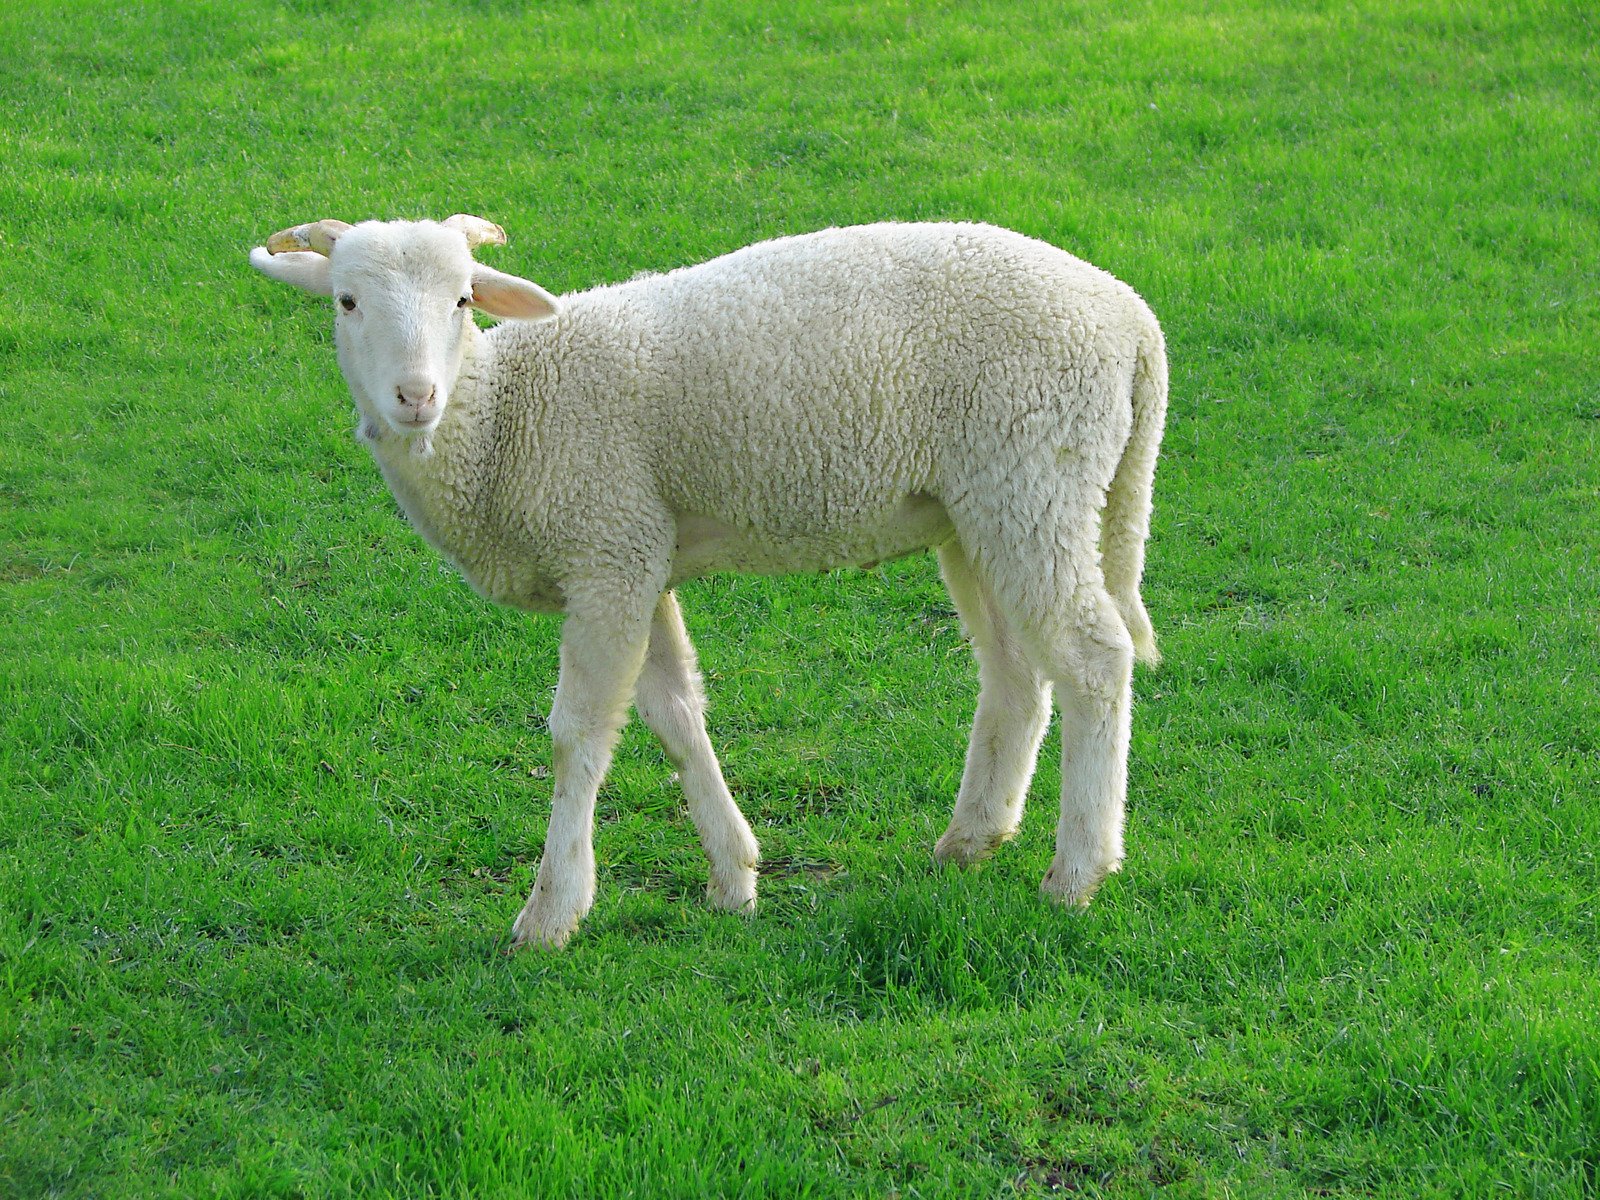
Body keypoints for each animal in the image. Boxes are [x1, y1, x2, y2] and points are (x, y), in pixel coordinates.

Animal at [252, 214, 1177, 947]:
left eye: (463, 301)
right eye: (346, 302)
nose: (415, 396)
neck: (499, 416)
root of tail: (1132, 320)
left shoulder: (605, 549)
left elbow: (577, 736)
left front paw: (551, 912)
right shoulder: (638, 554)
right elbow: (674, 715)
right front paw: (733, 876)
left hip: (1034, 472)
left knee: (1094, 660)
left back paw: (1078, 872)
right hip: (978, 505)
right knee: (1017, 676)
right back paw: (973, 839)